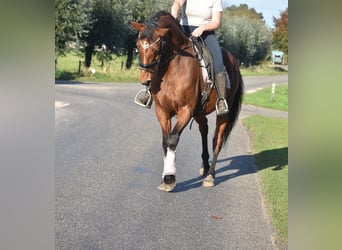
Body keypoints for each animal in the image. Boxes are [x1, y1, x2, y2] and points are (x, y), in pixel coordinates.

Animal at [129, 10, 243, 191]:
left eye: (157, 47)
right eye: (138, 45)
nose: (144, 79)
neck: (172, 67)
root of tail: (234, 61)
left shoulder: (185, 110)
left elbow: (172, 139)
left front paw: (169, 178)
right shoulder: (162, 111)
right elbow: (165, 142)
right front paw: (166, 177)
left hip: (223, 112)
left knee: (217, 139)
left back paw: (210, 175)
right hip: (200, 111)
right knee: (204, 129)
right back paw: (204, 166)